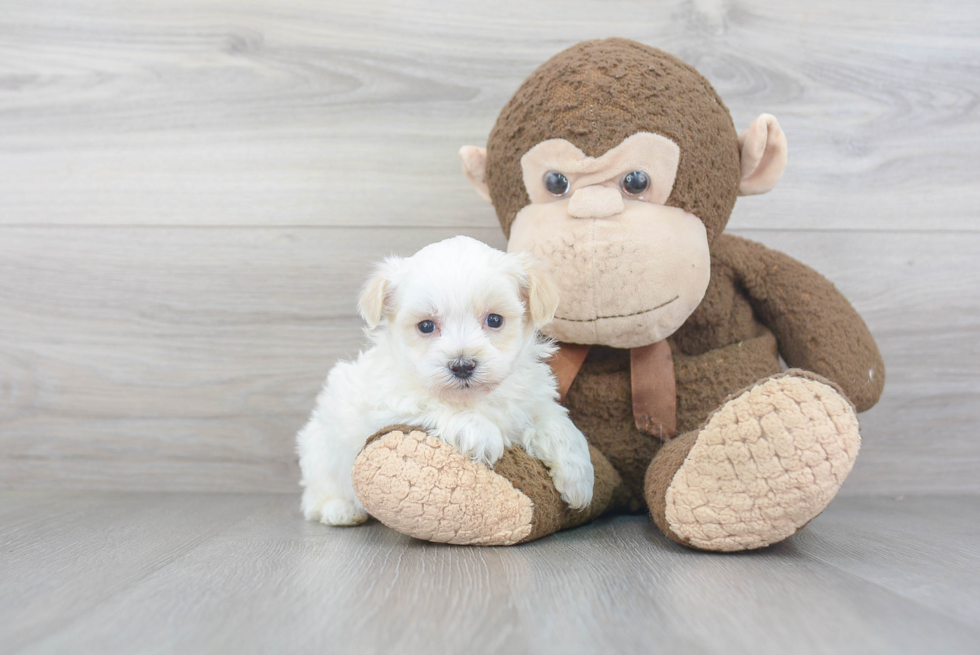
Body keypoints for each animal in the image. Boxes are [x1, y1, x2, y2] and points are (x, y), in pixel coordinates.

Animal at [294, 236, 592, 528]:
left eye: (494, 320)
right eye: (426, 326)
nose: (462, 365)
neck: (475, 398)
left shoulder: (533, 398)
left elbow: (557, 423)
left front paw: (579, 477)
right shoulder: (388, 402)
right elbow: (435, 405)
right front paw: (480, 432)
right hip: (321, 452)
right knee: (315, 496)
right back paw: (339, 510)